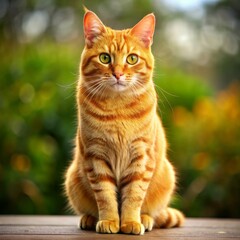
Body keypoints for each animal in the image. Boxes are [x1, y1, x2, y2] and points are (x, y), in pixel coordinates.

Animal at [63, 8, 184, 234]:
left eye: (132, 59)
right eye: (104, 58)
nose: (118, 74)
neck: (118, 111)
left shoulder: (141, 158)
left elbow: (133, 196)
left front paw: (130, 222)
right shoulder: (96, 157)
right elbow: (106, 196)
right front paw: (110, 221)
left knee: (153, 213)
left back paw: (145, 219)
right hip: (72, 178)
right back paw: (89, 219)